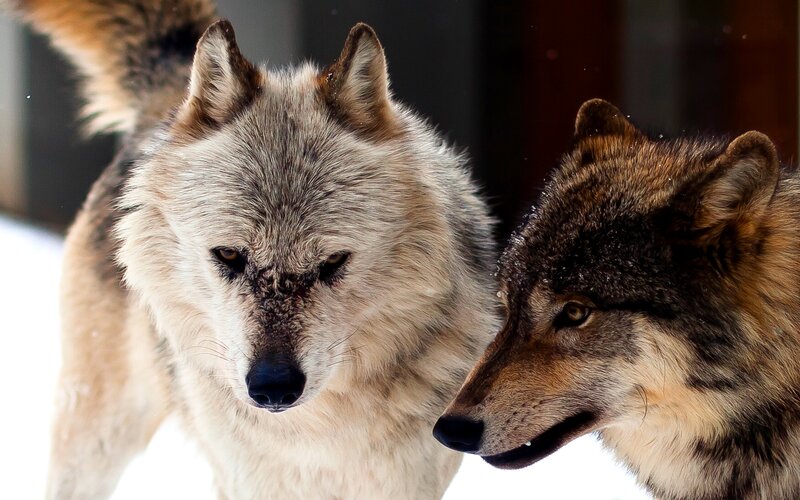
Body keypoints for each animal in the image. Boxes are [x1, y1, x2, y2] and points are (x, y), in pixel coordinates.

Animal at [13, 1, 498, 498]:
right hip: (95, 436)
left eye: (333, 262)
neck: (315, 437)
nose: (273, 387)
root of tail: (172, 95)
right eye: (228, 255)